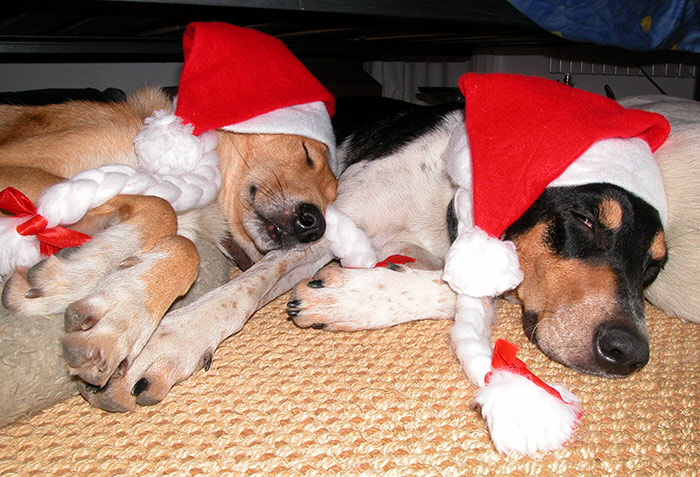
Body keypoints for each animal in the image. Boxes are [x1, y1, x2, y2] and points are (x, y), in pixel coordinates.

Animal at [0, 88, 340, 410]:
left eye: (331, 197)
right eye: (306, 153)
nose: (315, 224)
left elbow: (183, 243)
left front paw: (119, 319)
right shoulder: (16, 168)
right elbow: (162, 208)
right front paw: (70, 281)